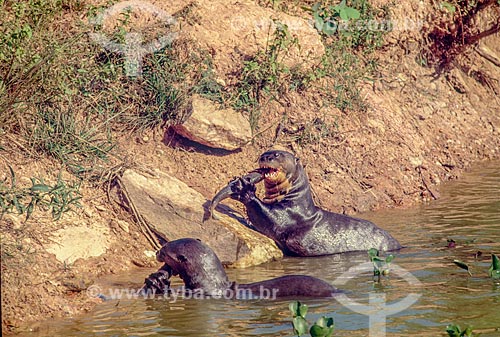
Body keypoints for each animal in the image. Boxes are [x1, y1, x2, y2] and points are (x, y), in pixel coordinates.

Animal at [211, 148, 402, 256]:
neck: (293, 198)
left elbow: (269, 219)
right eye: (263, 154)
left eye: (277, 155)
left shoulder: (291, 215)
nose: (265, 157)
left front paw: (245, 189)